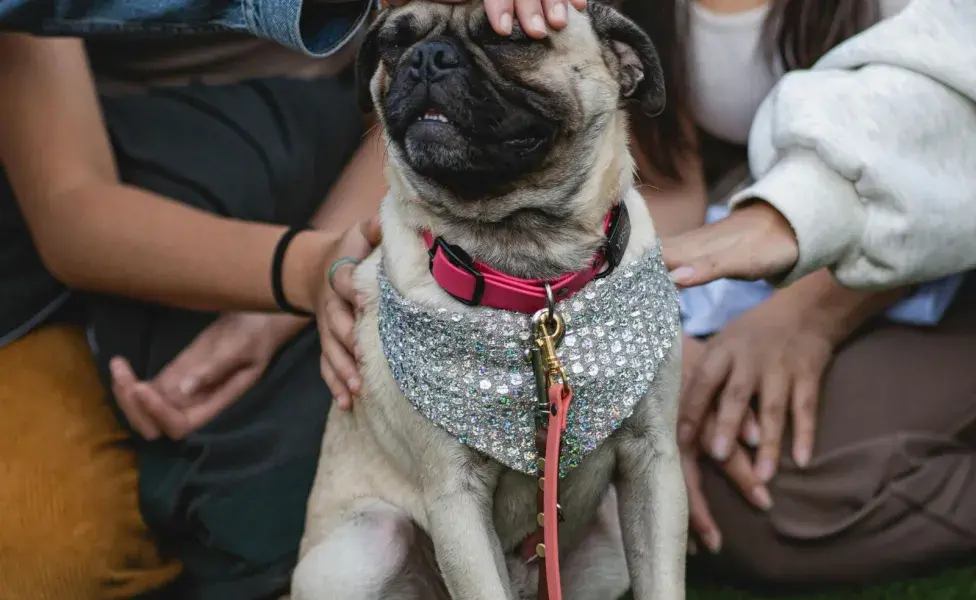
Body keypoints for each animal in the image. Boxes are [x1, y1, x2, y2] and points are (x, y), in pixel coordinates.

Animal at [290, 2, 688, 596]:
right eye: (394, 44)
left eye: (515, 36)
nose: (426, 58)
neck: (533, 276)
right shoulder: (455, 502)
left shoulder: (653, 461)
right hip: (369, 544)